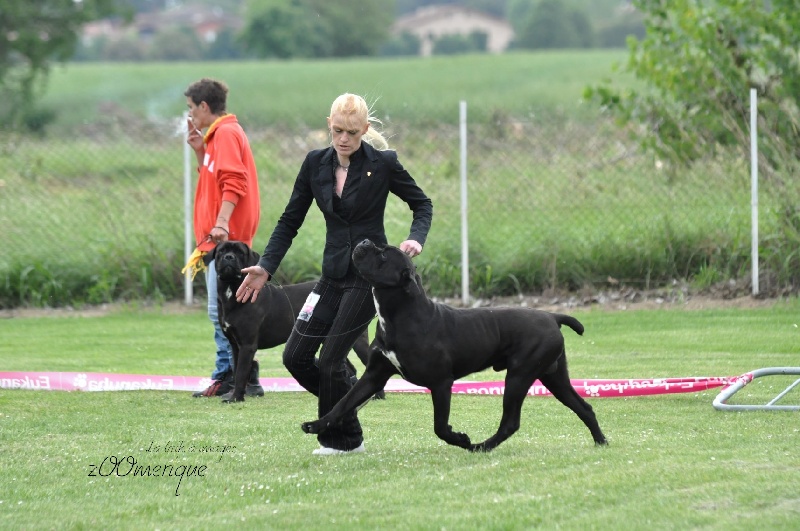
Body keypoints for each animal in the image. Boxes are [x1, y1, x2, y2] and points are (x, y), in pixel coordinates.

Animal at [212, 241, 376, 404]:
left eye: (240, 252)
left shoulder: (247, 345)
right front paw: (234, 395)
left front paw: (235, 397)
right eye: (222, 251)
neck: (231, 290)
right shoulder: (235, 344)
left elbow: (241, 373)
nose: (229, 257)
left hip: (355, 336)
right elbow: (236, 369)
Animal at [300, 241, 608, 454]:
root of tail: (552, 316)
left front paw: (460, 438)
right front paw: (316, 424)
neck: (401, 314)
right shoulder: (374, 376)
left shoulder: (440, 383)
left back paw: (481, 446)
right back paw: (601, 442)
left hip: (520, 375)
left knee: (511, 421)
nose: (364, 241)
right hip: (553, 375)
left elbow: (439, 426)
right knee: (583, 407)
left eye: (384, 255)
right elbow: (343, 403)